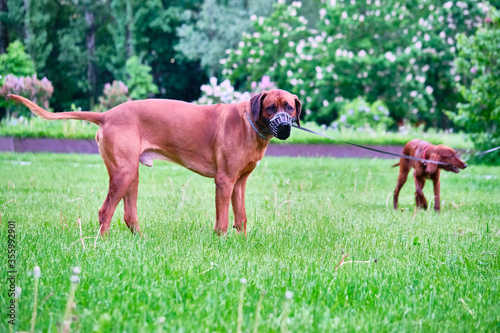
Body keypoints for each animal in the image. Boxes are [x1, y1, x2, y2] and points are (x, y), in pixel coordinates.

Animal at [9, 90, 302, 236]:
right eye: (270, 108)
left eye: (289, 107)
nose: (285, 127)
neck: (249, 123)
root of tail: (107, 115)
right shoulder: (224, 181)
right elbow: (222, 219)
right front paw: (221, 241)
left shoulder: (239, 183)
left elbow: (240, 217)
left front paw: (241, 240)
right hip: (123, 172)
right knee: (105, 212)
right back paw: (101, 244)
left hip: (131, 174)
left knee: (128, 215)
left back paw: (140, 239)